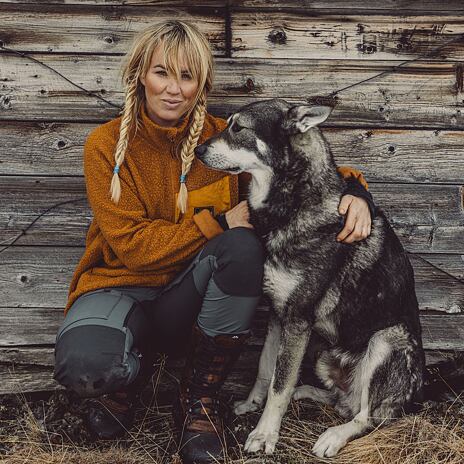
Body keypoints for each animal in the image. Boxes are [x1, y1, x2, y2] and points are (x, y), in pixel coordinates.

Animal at [192, 98, 424, 456]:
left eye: (238, 127)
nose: (198, 150)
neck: (294, 204)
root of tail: (415, 397)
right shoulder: (278, 314)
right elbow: (266, 369)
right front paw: (252, 404)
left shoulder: (298, 319)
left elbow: (280, 384)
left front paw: (264, 434)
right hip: (324, 355)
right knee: (344, 401)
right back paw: (307, 393)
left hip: (386, 340)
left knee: (366, 416)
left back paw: (333, 436)